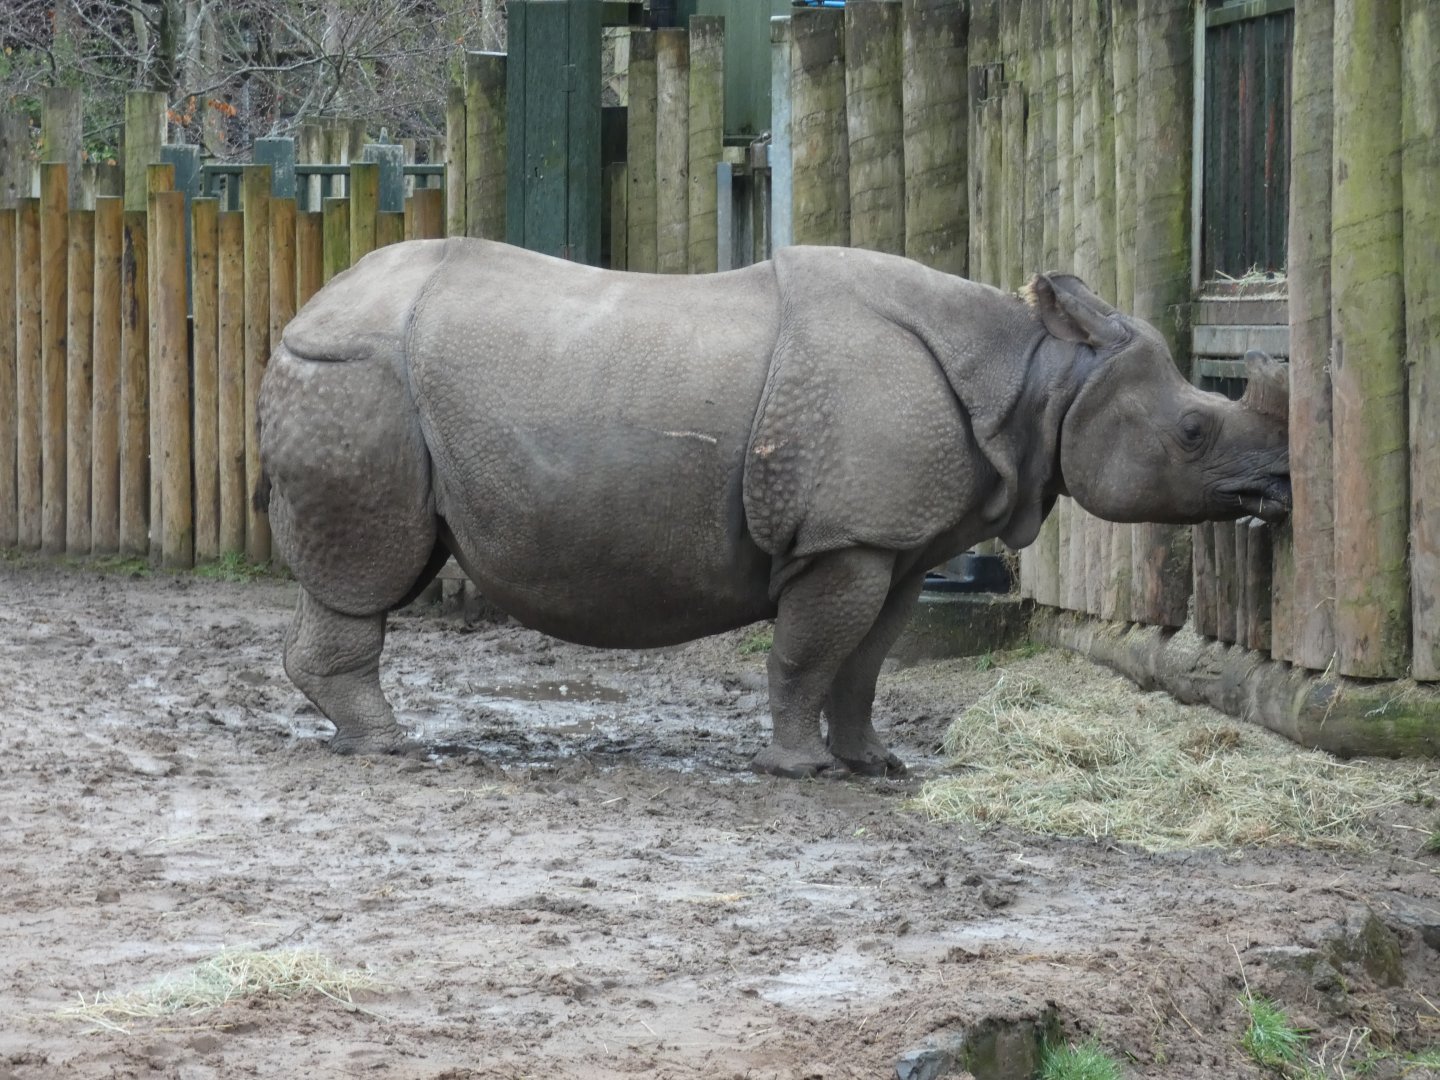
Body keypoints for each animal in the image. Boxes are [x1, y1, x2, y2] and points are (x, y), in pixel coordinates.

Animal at [256, 239, 1290, 777]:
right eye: (1195, 429)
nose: (1280, 484)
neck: (1040, 374)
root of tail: (302, 312)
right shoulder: (845, 538)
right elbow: (808, 653)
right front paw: (801, 771)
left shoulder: (896, 546)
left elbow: (866, 663)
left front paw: (876, 766)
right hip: (356, 378)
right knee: (370, 573)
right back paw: (389, 746)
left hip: (369, 379)